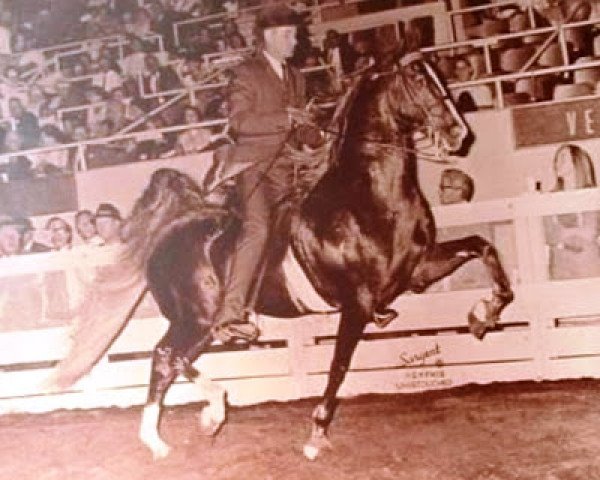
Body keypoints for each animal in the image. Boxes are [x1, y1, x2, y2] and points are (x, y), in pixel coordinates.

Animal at [49, 52, 512, 462]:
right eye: (417, 79)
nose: (459, 134)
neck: (368, 199)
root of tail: (171, 229)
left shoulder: (418, 272)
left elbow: (484, 249)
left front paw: (483, 314)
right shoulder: (358, 304)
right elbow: (339, 367)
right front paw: (316, 437)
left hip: (200, 325)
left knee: (170, 358)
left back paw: (184, 428)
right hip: (194, 318)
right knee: (166, 356)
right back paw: (189, 422)